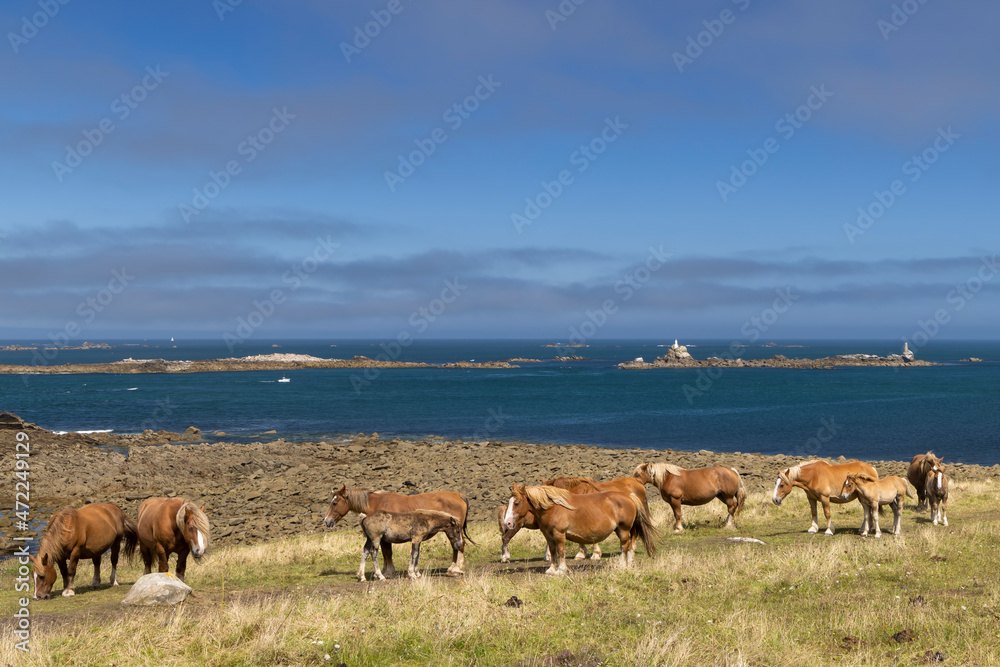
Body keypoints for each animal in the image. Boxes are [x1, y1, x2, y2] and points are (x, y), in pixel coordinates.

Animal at [325, 485, 473, 577]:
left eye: (335, 503)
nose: (327, 521)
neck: (377, 503)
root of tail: (459, 495)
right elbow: (385, 554)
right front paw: (385, 571)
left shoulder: (384, 538)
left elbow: (387, 553)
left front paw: (388, 572)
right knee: (456, 546)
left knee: (459, 546)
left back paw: (457, 569)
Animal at [503, 483, 657, 576]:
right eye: (509, 502)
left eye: (517, 503)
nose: (507, 523)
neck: (552, 507)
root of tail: (629, 496)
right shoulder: (548, 535)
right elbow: (552, 552)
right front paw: (552, 569)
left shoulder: (559, 534)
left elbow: (561, 551)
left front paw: (561, 570)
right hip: (620, 530)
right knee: (629, 546)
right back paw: (629, 564)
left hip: (623, 529)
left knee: (625, 546)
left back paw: (622, 565)